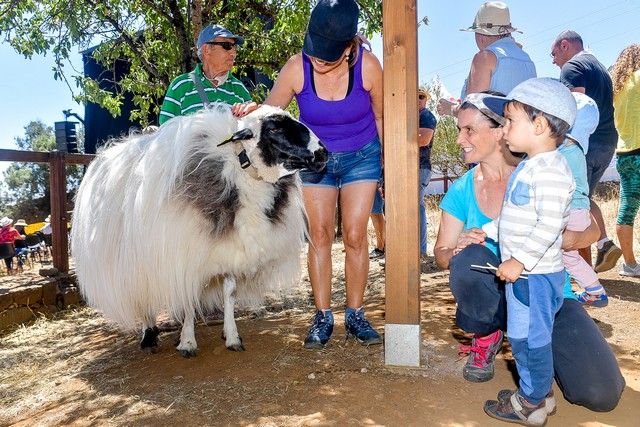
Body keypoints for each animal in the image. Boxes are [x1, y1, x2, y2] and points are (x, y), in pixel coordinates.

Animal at [72, 106, 328, 358]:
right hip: (135, 261)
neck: (238, 168)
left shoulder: (229, 248)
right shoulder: (185, 254)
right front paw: (187, 342)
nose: (322, 153)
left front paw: (231, 336)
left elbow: (229, 293)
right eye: (273, 128)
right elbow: (188, 299)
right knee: (143, 297)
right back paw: (149, 336)